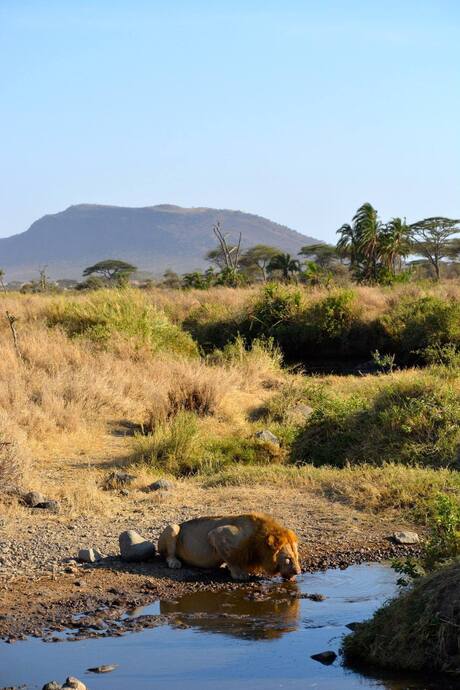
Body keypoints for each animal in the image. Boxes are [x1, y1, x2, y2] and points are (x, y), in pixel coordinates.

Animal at [157, 512, 302, 576]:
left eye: (297, 558)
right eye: (288, 559)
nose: (298, 572)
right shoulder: (218, 534)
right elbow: (231, 558)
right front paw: (239, 574)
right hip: (173, 527)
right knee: (168, 555)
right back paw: (174, 563)